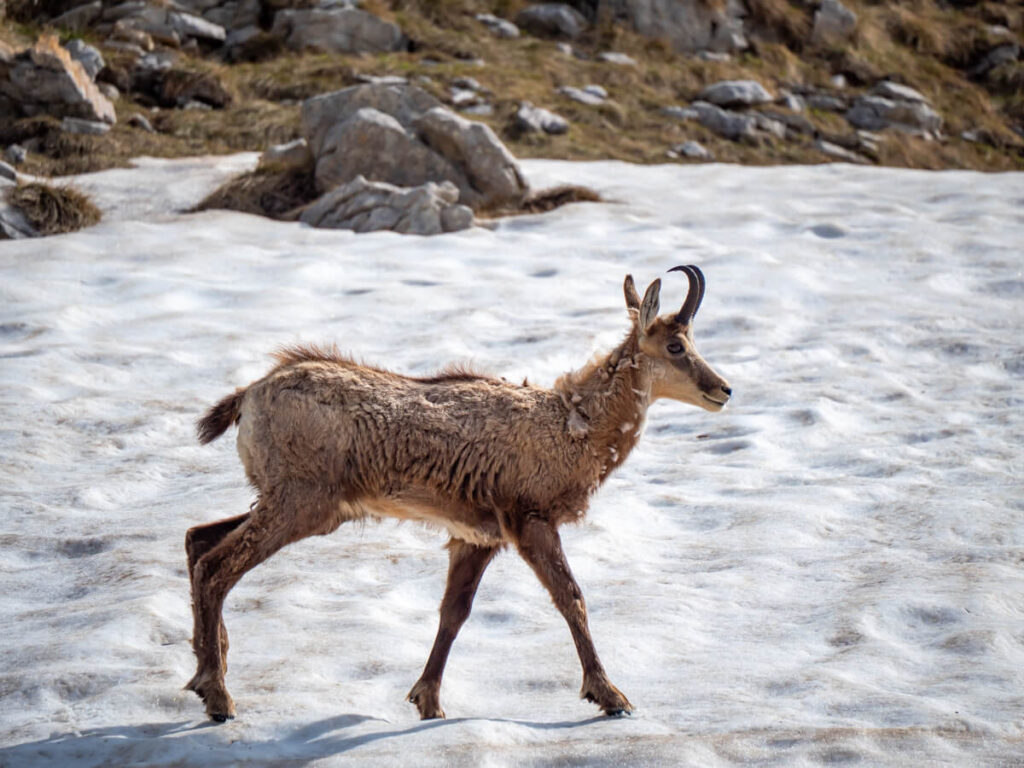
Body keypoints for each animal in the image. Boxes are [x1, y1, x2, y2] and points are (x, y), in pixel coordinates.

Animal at [185, 266, 731, 722]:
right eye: (677, 347)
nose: (723, 389)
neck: (571, 427)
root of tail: (249, 396)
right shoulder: (530, 519)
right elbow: (571, 597)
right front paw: (610, 695)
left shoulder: (477, 535)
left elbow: (455, 612)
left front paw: (427, 701)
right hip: (302, 502)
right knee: (216, 566)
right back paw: (218, 696)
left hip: (293, 501)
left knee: (197, 538)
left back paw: (205, 669)